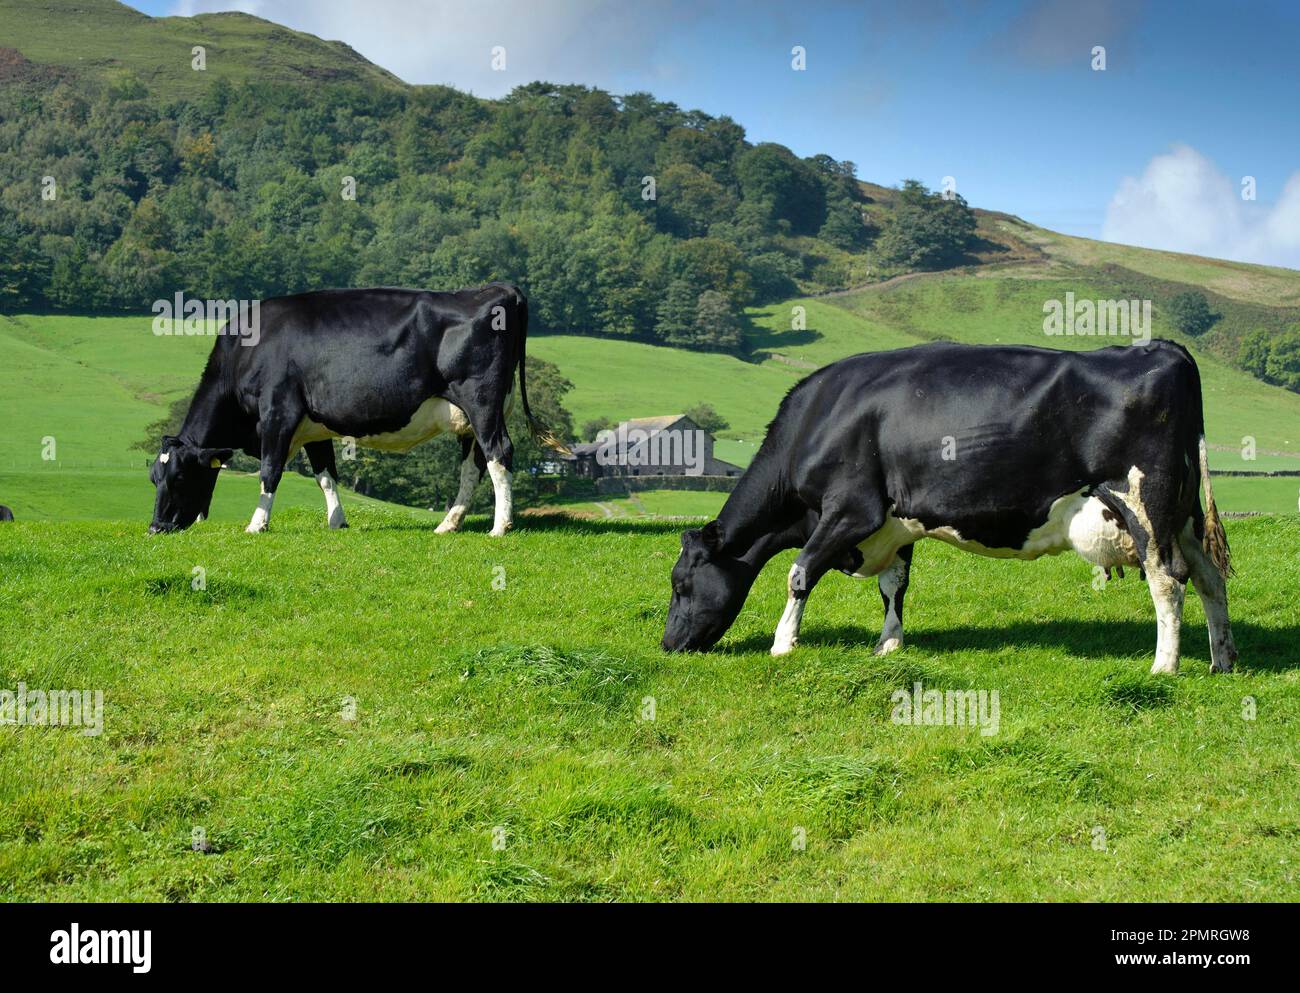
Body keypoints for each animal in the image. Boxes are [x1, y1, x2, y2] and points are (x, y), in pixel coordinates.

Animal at [149, 283, 563, 536]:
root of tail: (496, 289)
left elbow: (270, 471)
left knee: (499, 454)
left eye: (180, 477)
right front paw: (337, 521)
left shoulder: (278, 412)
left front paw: (257, 524)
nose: (155, 528)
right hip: (470, 418)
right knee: (473, 467)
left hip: (481, 402)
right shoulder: (312, 426)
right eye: (155, 478)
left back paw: (500, 527)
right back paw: (449, 524)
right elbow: (326, 475)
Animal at [662, 340, 1236, 676]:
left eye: (681, 583)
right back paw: (1222, 659)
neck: (818, 420)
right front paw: (890, 644)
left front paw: (783, 644)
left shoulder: (850, 509)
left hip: (1145, 504)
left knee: (1170, 579)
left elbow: (799, 572)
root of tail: (1165, 348)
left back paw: (1165, 667)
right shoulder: (894, 525)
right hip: (1184, 514)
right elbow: (894, 585)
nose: (667, 645)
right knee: (1211, 578)